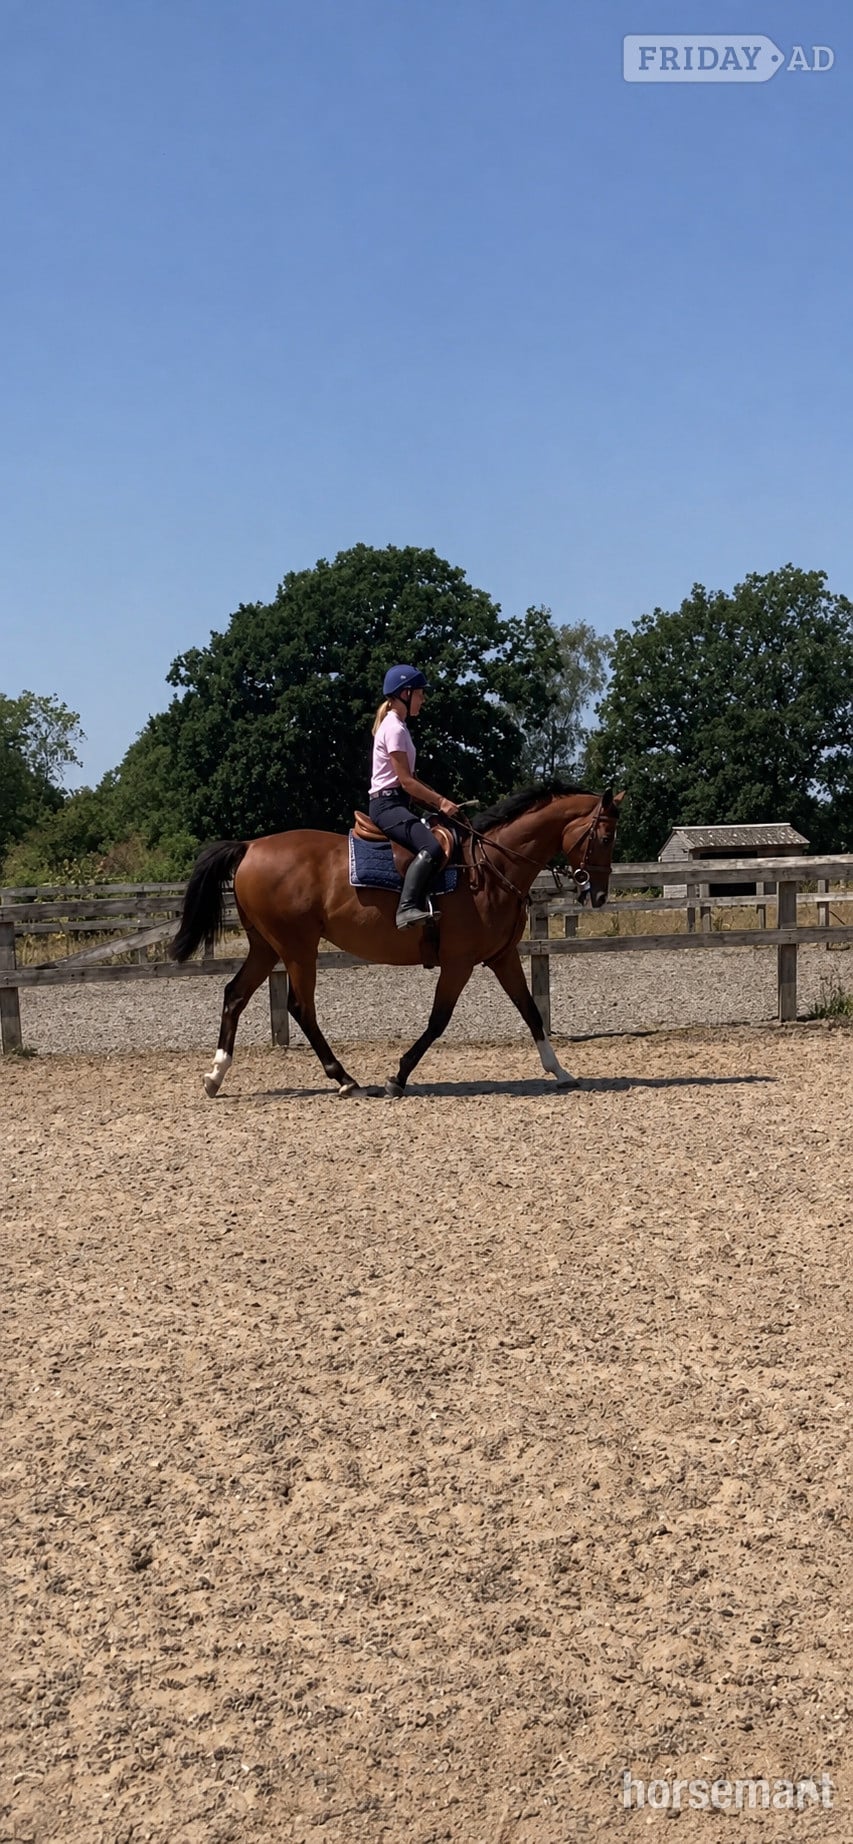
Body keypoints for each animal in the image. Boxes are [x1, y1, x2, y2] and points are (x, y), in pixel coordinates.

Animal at [171, 783, 623, 1099]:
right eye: (604, 838)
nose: (598, 894)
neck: (490, 867)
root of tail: (250, 846)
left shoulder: (503, 957)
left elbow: (530, 1011)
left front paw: (560, 1071)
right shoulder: (458, 962)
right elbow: (438, 1021)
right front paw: (398, 1076)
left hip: (266, 947)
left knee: (234, 995)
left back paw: (215, 1075)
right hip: (297, 949)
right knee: (300, 1008)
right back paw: (345, 1079)